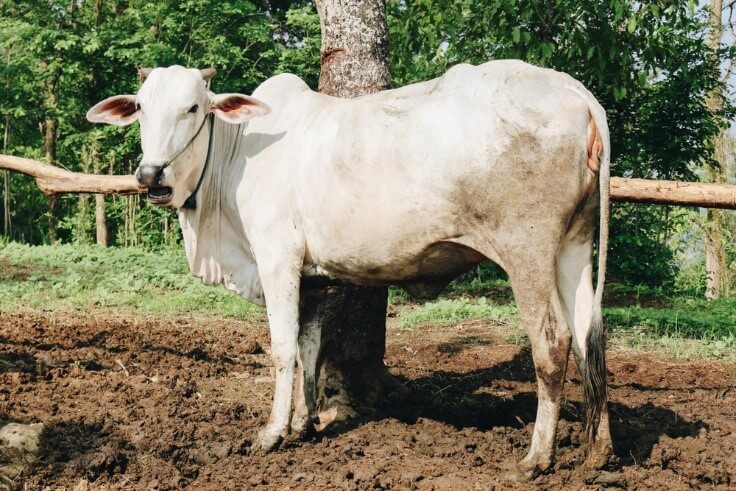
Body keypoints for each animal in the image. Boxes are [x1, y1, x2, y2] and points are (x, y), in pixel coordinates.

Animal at [87, 60, 608, 476]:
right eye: (141, 107)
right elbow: (308, 350)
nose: (151, 175)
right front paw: (304, 424)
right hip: (575, 246)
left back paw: (537, 458)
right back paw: (597, 452)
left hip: (527, 249)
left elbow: (282, 349)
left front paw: (272, 433)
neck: (236, 157)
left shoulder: (277, 258)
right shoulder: (313, 279)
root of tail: (577, 93)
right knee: (590, 337)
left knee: (553, 339)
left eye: (193, 108)